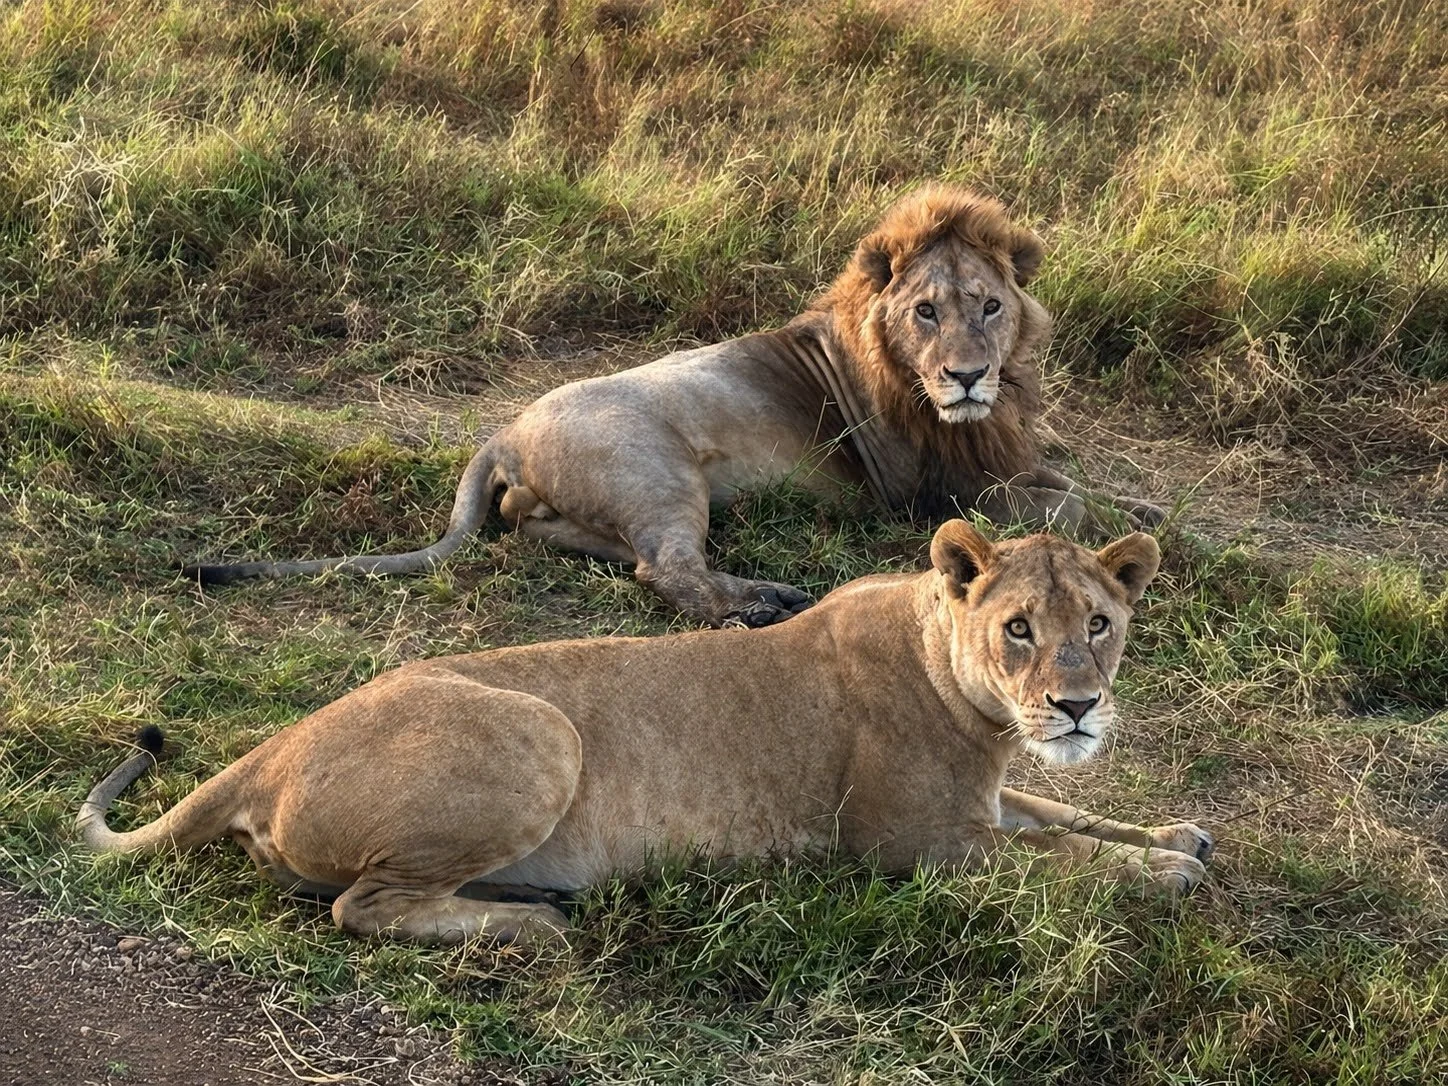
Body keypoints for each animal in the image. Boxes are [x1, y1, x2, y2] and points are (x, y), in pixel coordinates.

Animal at [84, 522, 1212, 946]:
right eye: (1019, 628)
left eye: (1097, 625)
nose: (1076, 705)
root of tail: (269, 750)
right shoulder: (912, 845)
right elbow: (1054, 855)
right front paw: (1166, 874)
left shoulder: (983, 800)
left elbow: (1061, 810)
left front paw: (1173, 836)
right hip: (540, 729)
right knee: (359, 906)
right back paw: (532, 925)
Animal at [185, 186, 1163, 627]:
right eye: (927, 310)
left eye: (990, 306)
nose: (966, 376)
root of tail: (503, 431)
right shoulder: (931, 491)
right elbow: (1063, 505)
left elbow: (1087, 486)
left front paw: (1152, 514)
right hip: (660, 475)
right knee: (669, 573)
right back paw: (765, 602)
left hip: (584, 511)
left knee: (601, 551)